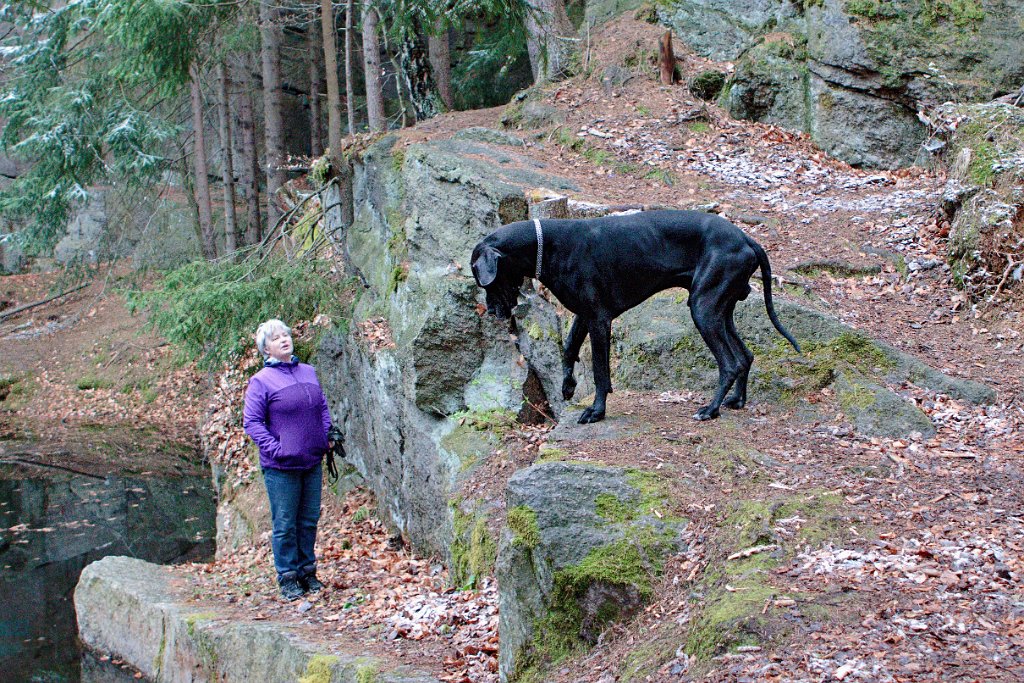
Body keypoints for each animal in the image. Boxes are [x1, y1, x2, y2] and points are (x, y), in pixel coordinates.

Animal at [471, 209, 798, 421]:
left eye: (483, 279)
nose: (490, 311)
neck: (546, 245)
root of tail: (746, 238)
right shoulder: (584, 314)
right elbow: (569, 348)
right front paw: (567, 386)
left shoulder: (599, 320)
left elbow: (600, 371)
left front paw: (596, 411)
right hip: (720, 311)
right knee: (745, 356)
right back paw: (737, 400)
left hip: (704, 309)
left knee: (730, 363)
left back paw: (710, 410)